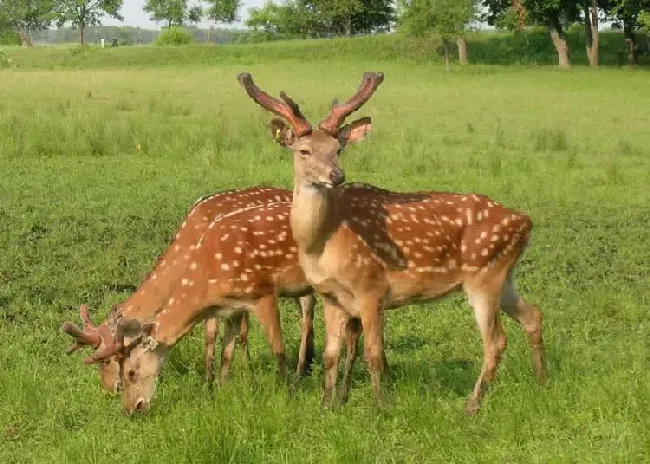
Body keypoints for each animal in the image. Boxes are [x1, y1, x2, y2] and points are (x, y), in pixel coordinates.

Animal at [238, 71, 548, 414]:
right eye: (303, 151)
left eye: (338, 149)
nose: (336, 175)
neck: (322, 243)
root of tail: (525, 221)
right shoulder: (331, 296)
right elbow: (331, 355)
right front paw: (326, 406)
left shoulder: (371, 288)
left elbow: (374, 354)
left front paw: (381, 407)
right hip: (504, 276)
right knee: (533, 315)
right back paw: (541, 382)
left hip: (485, 276)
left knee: (496, 341)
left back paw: (471, 405)